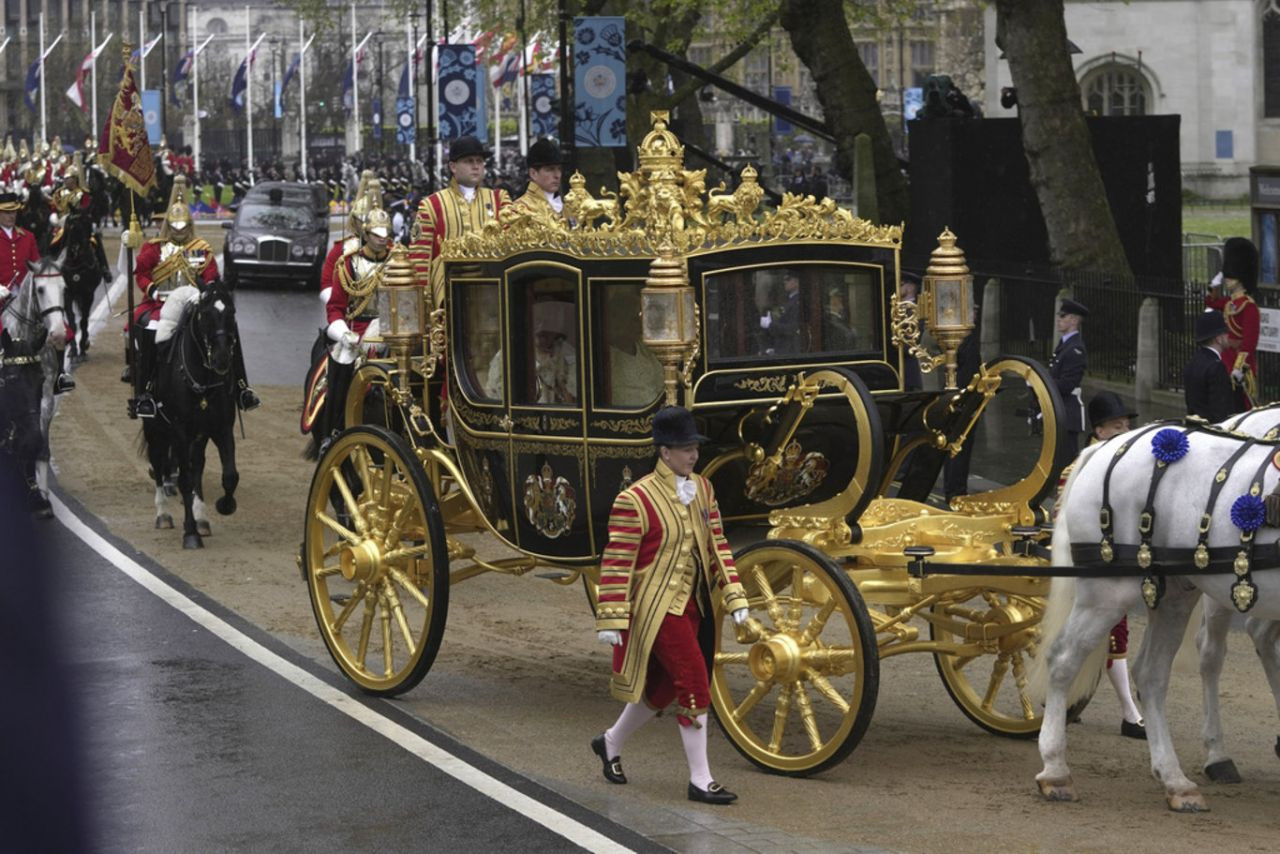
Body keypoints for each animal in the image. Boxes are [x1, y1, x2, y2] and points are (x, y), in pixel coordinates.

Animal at [52, 212, 112, 363]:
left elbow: (84, 321)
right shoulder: (67, 293)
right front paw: (73, 350)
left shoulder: (88, 294)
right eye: (73, 227)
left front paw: (83, 347)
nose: (84, 252)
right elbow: (72, 321)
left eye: (88, 225)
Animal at [140, 280, 240, 547]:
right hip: (155, 430)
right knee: (159, 463)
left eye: (231, 312)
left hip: (198, 437)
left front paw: (224, 506)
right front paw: (190, 533)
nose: (222, 359)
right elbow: (184, 479)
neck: (202, 379)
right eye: (204, 314)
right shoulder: (180, 432)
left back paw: (201, 518)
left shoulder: (221, 428)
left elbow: (230, 475)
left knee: (197, 467)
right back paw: (163, 514)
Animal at [1034, 419, 1280, 814]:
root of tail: (1105, 447)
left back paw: (1175, 780)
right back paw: (1056, 770)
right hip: (1107, 594)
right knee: (1063, 660)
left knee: (1151, 674)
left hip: (1174, 596)